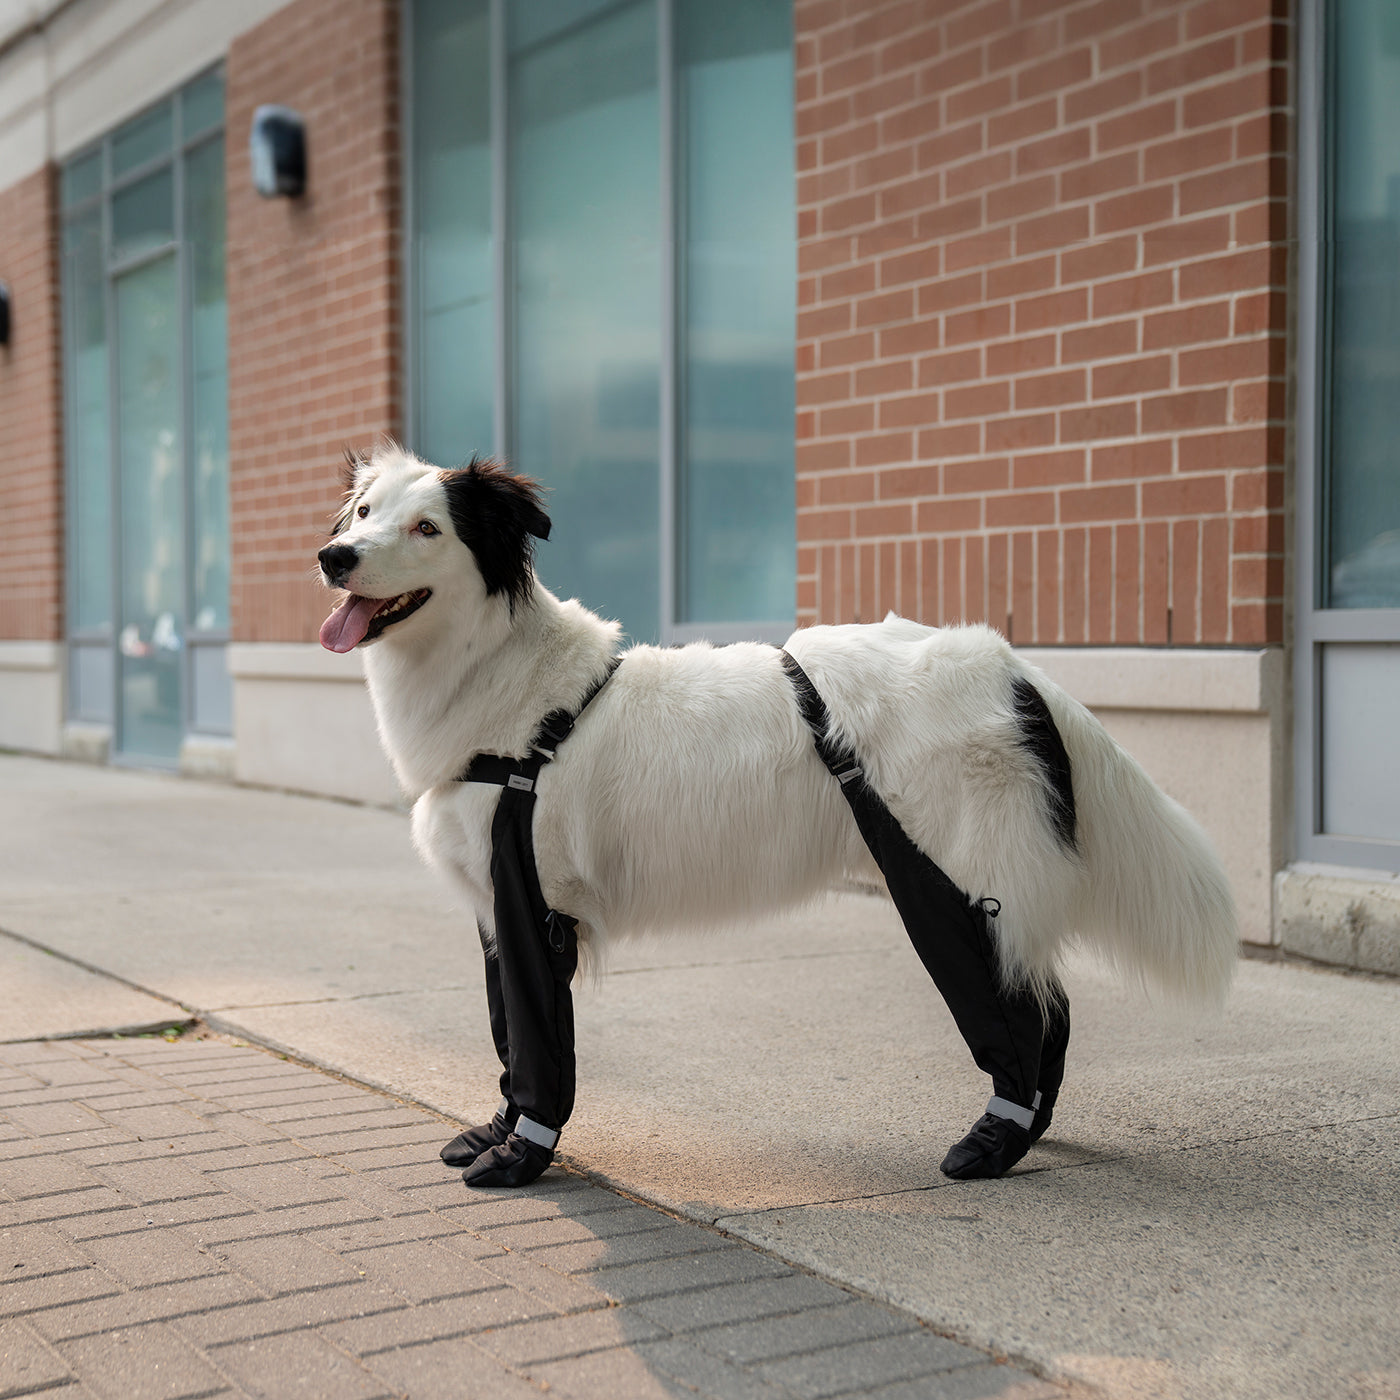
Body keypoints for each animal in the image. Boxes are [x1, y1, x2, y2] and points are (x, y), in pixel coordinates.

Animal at [317, 442, 1237, 1187]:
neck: (503, 682)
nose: (332, 556)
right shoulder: (497, 911)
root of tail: (1009, 665)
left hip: (951, 879)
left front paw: (520, 1157)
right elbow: (510, 1038)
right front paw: (493, 1132)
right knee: (1050, 1004)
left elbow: (540, 1048)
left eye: (427, 527)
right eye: (364, 513)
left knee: (1024, 1009)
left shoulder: (531, 902)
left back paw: (994, 1142)